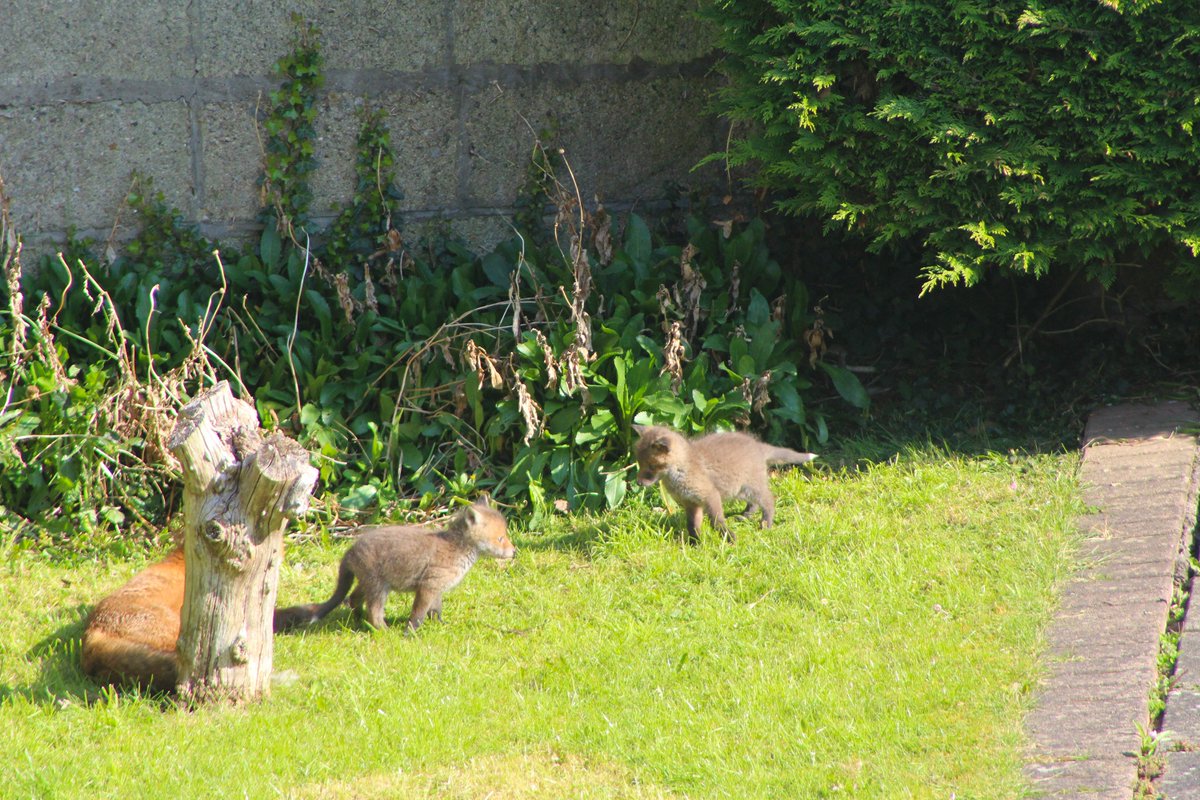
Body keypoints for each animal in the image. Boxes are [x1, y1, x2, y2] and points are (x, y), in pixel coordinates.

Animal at [274, 498, 515, 633]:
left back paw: (359, 621)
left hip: (369, 584)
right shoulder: (428, 586)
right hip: (379, 588)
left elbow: (435, 611)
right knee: (372, 610)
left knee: (353, 599)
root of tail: (349, 551)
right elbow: (418, 614)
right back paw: (383, 630)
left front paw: (439, 626)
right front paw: (410, 633)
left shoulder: (436, 588)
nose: (514, 552)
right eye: (500, 539)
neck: (456, 549)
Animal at [633, 424, 817, 543]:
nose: (639, 483)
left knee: (769, 501)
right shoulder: (691, 503)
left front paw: (728, 537)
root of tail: (758, 445)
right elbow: (692, 525)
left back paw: (766, 524)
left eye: (651, 466)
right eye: (639, 463)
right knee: (754, 504)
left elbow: (716, 521)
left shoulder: (710, 495)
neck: (681, 470)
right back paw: (744, 516)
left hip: (751, 487)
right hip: (739, 490)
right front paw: (695, 543)